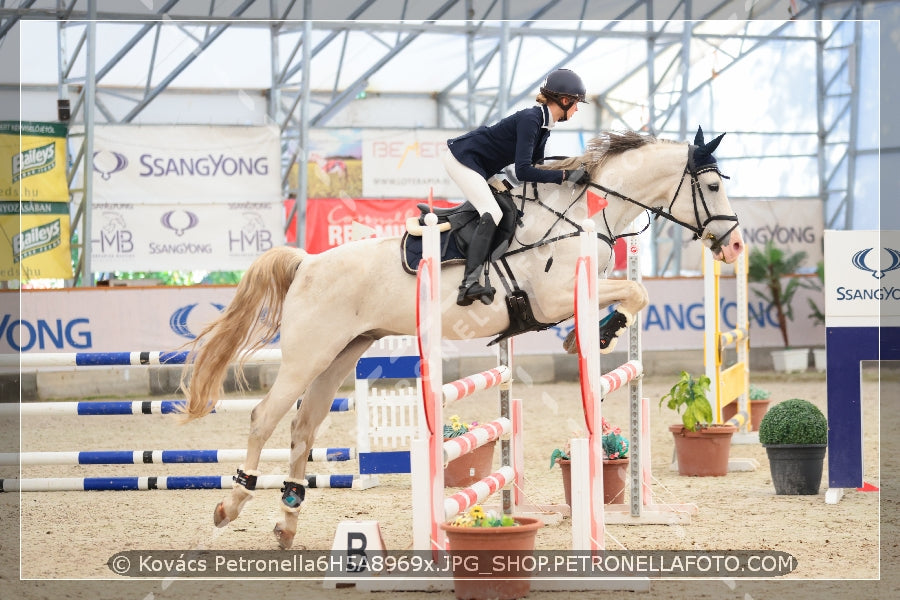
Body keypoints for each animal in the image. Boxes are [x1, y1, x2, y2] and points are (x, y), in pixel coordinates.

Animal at [181, 126, 744, 548]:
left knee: (304, 426)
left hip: (342, 353)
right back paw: (231, 504)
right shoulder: (554, 298)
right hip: (307, 352)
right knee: (264, 417)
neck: (581, 216)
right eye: (715, 187)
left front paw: (600, 333)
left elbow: (634, 294)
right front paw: (593, 336)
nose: (735, 246)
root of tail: (308, 261)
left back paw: (287, 520)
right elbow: (633, 292)